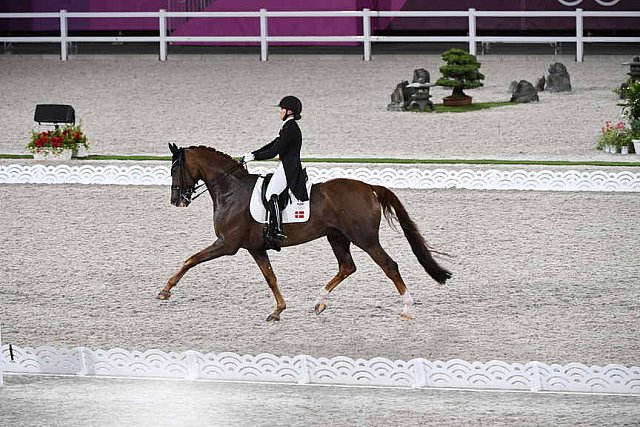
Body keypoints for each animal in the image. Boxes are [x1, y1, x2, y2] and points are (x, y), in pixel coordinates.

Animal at [159, 144, 450, 320]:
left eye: (175, 168)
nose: (176, 201)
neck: (231, 190)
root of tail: (369, 187)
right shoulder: (255, 247)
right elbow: (271, 277)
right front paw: (278, 310)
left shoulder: (227, 244)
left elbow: (191, 260)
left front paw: (165, 290)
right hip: (337, 237)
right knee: (347, 267)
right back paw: (320, 301)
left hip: (365, 239)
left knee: (389, 266)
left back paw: (407, 308)